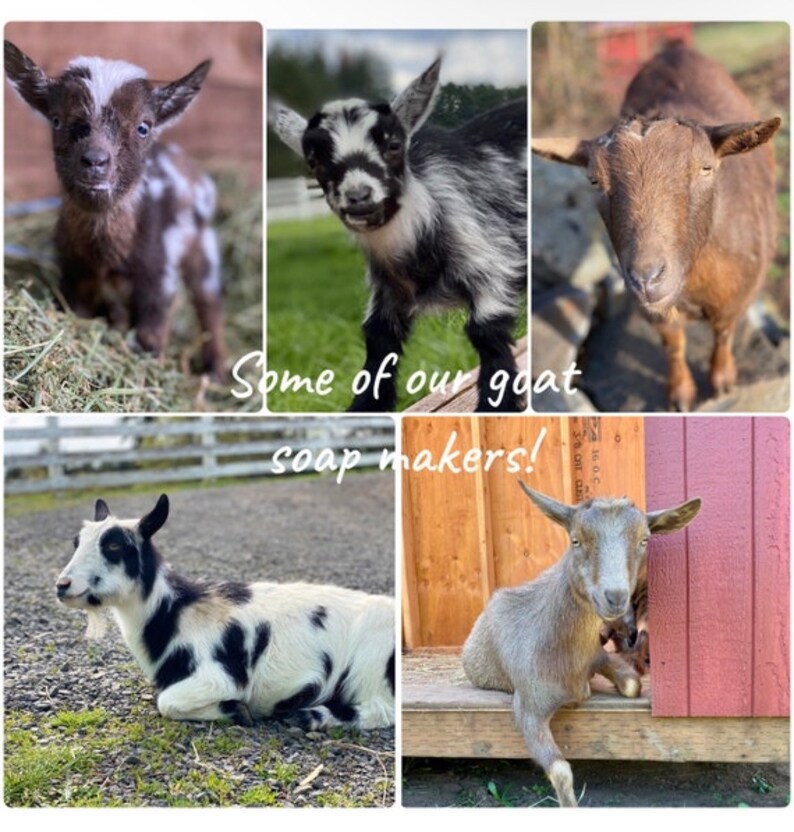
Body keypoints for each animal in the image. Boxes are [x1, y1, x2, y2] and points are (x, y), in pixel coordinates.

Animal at [4, 41, 227, 379]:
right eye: (56, 120)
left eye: (143, 127)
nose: (95, 161)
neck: (104, 252)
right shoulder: (73, 271)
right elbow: (78, 312)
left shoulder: (157, 273)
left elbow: (152, 332)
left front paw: (151, 368)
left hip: (203, 245)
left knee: (208, 301)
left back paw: (216, 372)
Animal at [55, 495, 395, 729]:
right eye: (76, 542)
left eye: (114, 547)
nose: (62, 585)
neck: (174, 614)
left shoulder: (219, 677)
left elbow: (167, 702)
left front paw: (237, 711)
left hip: (370, 665)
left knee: (381, 710)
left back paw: (311, 716)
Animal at [273, 58, 527, 412]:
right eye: (313, 161)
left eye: (394, 145)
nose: (359, 196)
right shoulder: (387, 294)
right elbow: (379, 340)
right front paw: (363, 409)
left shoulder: (490, 262)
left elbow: (487, 333)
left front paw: (496, 408)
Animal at [462, 482, 701, 806]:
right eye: (575, 539)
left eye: (644, 539)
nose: (614, 597)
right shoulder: (528, 706)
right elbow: (561, 771)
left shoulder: (597, 656)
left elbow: (632, 685)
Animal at [532, 42, 780, 411]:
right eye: (594, 180)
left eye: (706, 168)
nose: (646, 278)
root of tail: (677, 48)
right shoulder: (650, 306)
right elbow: (673, 343)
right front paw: (680, 394)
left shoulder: (739, 293)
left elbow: (723, 333)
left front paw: (722, 381)